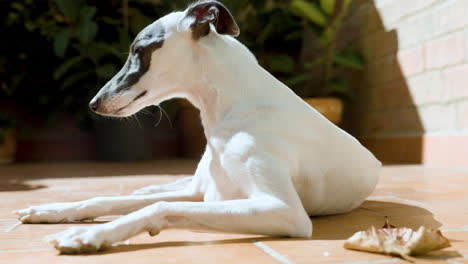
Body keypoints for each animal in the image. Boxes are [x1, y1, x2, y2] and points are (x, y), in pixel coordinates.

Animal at [14, 0, 382, 254]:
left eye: (139, 50)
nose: (93, 104)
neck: (234, 109)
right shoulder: (200, 193)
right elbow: (102, 199)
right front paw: (53, 210)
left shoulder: (284, 211)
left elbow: (160, 206)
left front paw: (90, 234)